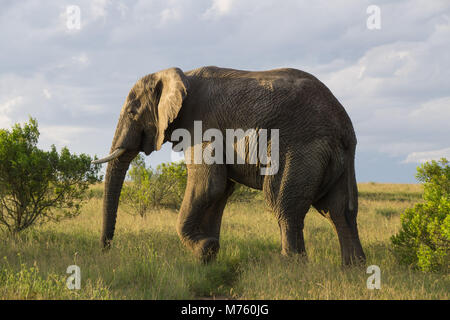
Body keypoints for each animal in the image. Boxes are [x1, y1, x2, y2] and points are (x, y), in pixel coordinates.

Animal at [94, 65, 366, 264]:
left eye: (132, 113)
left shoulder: (201, 126)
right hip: (341, 157)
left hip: (298, 149)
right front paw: (208, 257)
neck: (179, 75)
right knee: (340, 210)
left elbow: (207, 186)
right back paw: (353, 269)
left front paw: (204, 249)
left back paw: (291, 266)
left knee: (283, 205)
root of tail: (343, 126)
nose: (106, 250)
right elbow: (220, 191)